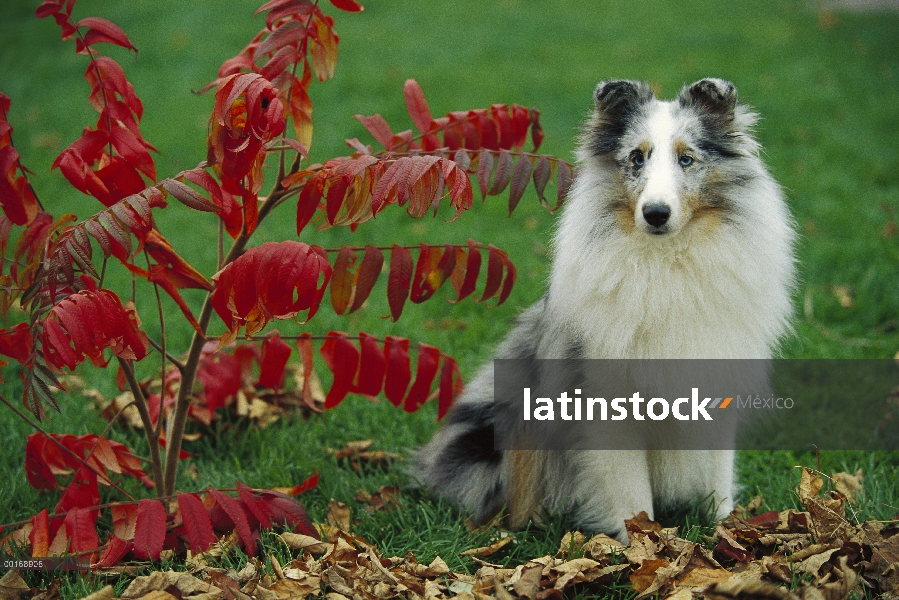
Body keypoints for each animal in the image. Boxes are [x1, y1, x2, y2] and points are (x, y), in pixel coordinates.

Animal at [414, 77, 796, 540]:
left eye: (687, 158)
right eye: (636, 157)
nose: (655, 214)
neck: (665, 262)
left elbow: (718, 476)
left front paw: (724, 529)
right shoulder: (608, 400)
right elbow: (631, 493)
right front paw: (641, 544)